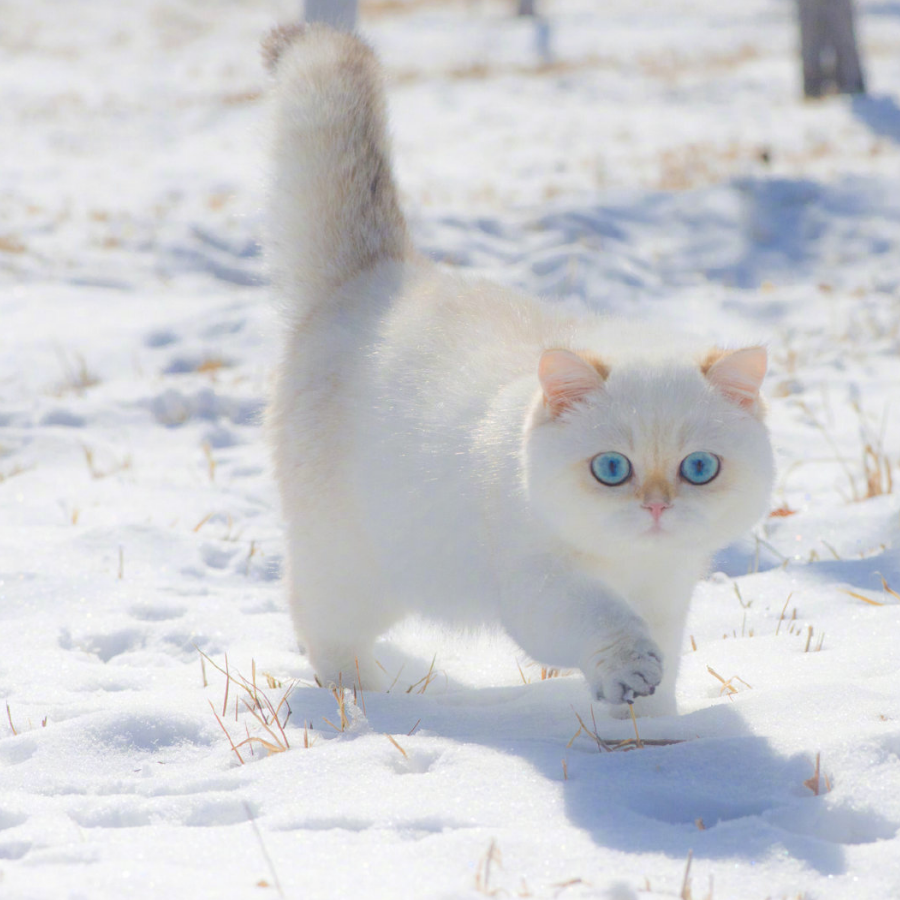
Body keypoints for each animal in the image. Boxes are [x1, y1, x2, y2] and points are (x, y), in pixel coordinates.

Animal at [260, 22, 772, 716]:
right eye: (612, 469)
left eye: (699, 469)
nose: (656, 507)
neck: (629, 565)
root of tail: (378, 272)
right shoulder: (543, 585)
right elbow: (608, 625)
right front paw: (629, 673)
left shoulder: (669, 592)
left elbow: (660, 661)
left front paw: (652, 726)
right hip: (354, 569)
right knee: (316, 623)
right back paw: (367, 694)